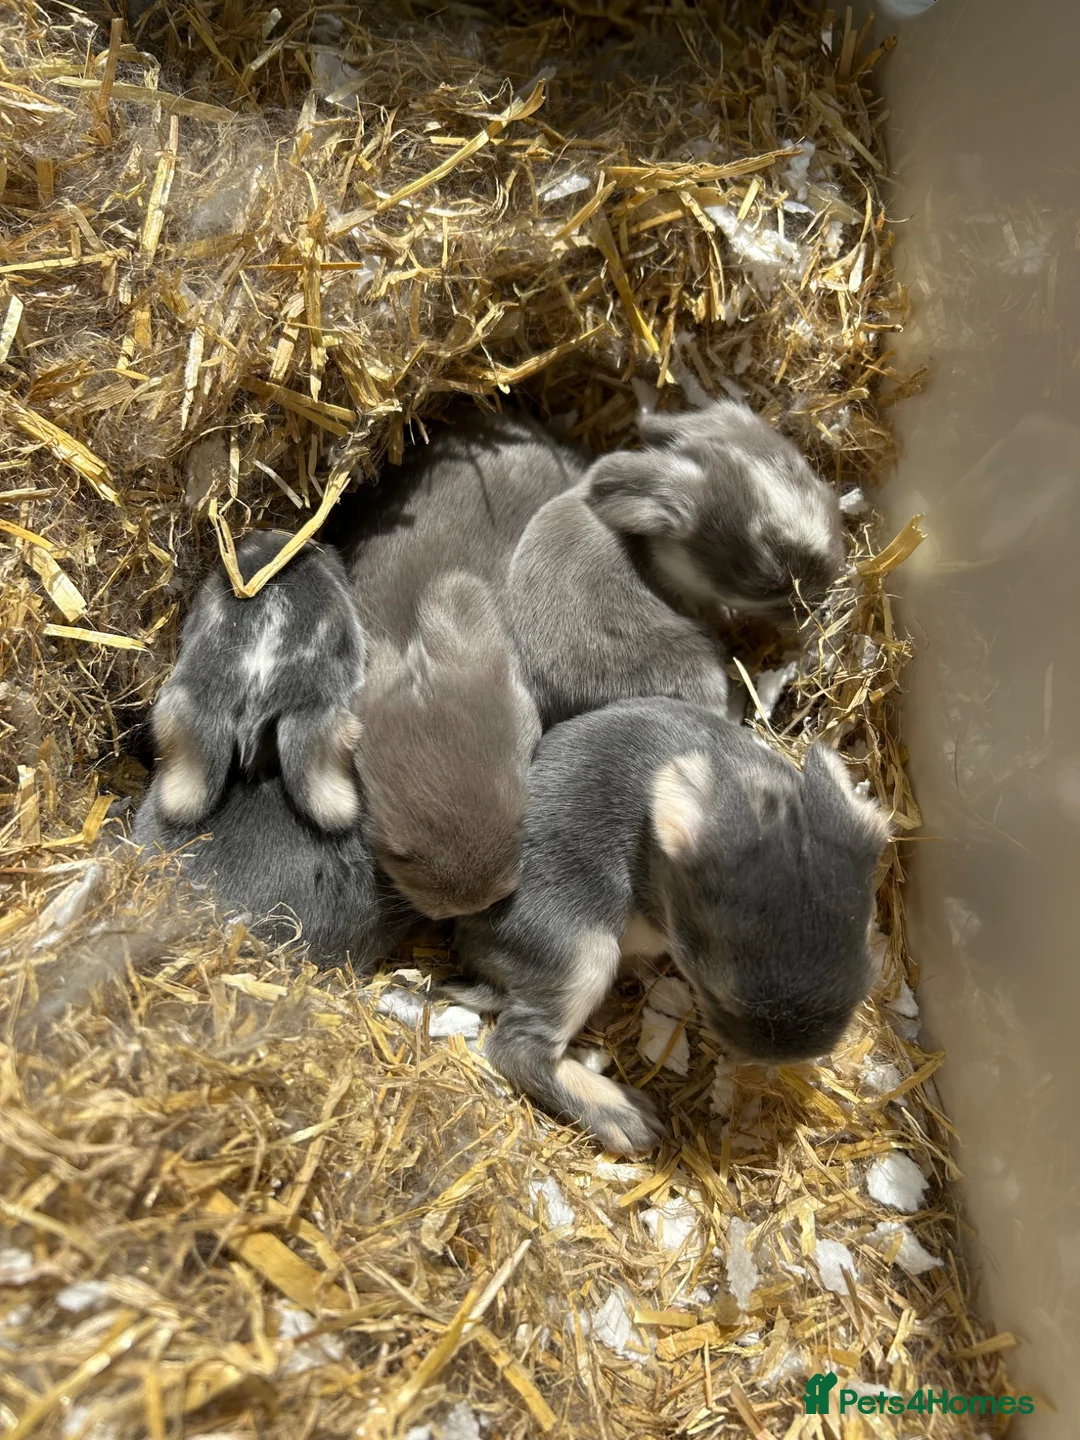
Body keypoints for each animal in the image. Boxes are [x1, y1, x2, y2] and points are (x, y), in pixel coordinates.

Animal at [450, 697, 889, 1154]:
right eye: (713, 993)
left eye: (865, 982)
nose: (784, 1056)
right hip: (582, 955)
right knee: (518, 1048)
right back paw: (624, 1115)